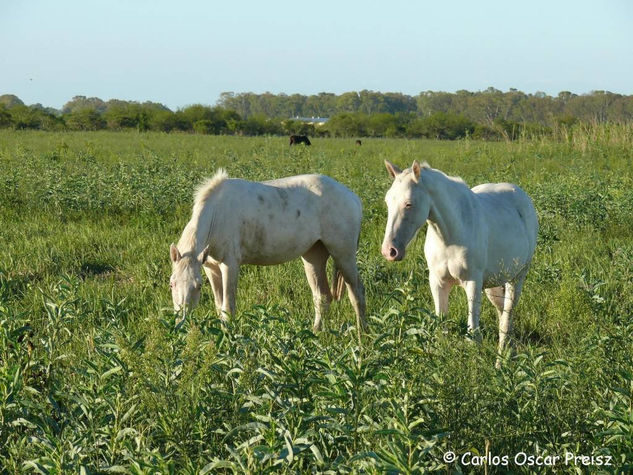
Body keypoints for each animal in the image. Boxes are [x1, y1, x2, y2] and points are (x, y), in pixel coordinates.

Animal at [169, 167, 366, 338]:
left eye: (198, 286)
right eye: (171, 284)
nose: (181, 323)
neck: (217, 215)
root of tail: (354, 198)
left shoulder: (230, 265)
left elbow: (228, 307)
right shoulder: (211, 268)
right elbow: (219, 307)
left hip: (344, 254)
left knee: (356, 292)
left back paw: (362, 335)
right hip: (314, 256)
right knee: (322, 297)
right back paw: (315, 334)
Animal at [380, 160, 540, 356]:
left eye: (409, 204)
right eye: (388, 201)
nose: (389, 251)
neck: (450, 237)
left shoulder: (473, 282)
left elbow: (472, 331)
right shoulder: (437, 282)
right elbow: (441, 326)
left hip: (517, 277)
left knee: (507, 316)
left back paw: (502, 356)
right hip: (494, 283)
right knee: (501, 312)